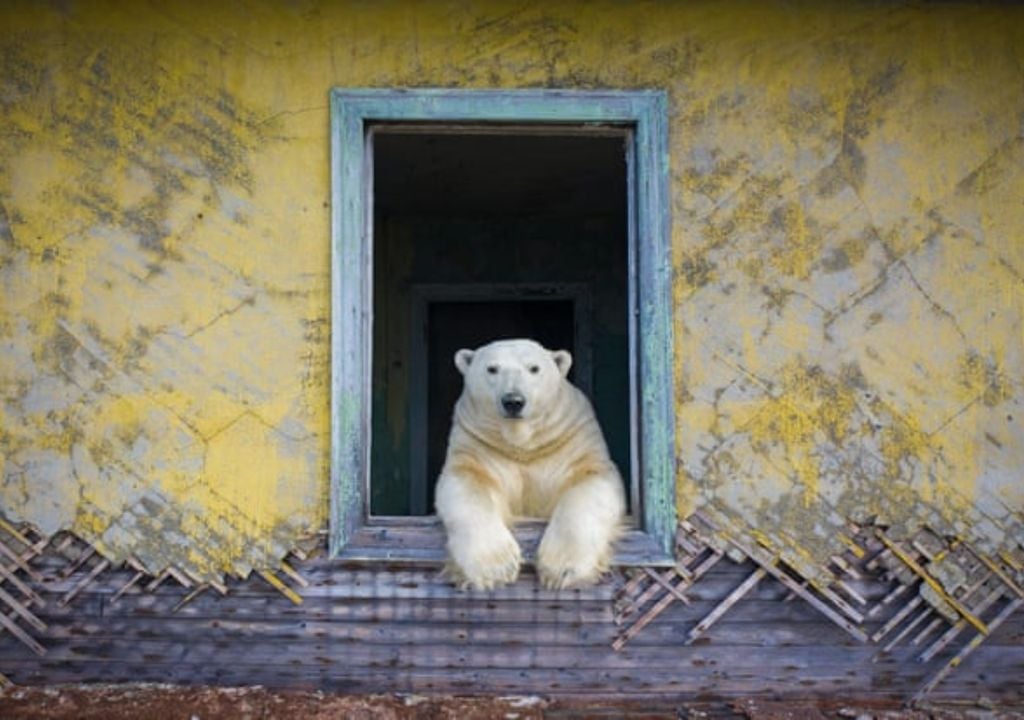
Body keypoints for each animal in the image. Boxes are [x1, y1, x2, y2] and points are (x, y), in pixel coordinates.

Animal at [432, 337, 622, 589]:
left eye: (534, 368)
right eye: (492, 369)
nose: (513, 400)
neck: (522, 445)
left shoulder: (572, 438)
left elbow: (592, 480)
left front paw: (562, 569)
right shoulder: (478, 444)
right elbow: (467, 483)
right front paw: (496, 568)